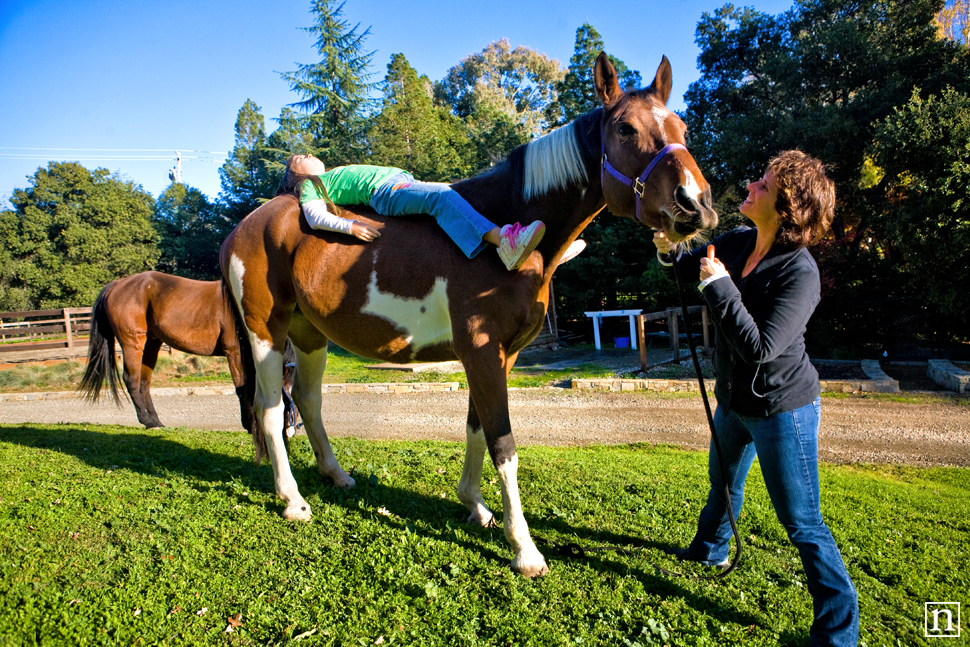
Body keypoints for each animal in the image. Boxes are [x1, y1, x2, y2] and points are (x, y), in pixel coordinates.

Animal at [78, 270, 296, 442]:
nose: (288, 428)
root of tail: (117, 284)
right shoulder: (234, 352)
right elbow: (243, 388)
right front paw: (250, 425)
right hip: (133, 343)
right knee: (131, 380)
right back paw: (147, 421)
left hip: (152, 343)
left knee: (144, 383)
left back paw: (155, 420)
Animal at [221, 52, 720, 576]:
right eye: (625, 129)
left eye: (682, 126)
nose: (696, 205)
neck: (510, 224)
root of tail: (244, 227)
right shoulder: (481, 352)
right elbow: (504, 444)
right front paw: (524, 548)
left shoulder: (501, 356)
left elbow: (477, 429)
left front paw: (475, 506)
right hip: (266, 333)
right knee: (271, 410)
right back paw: (292, 500)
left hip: (309, 335)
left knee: (309, 402)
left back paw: (336, 476)